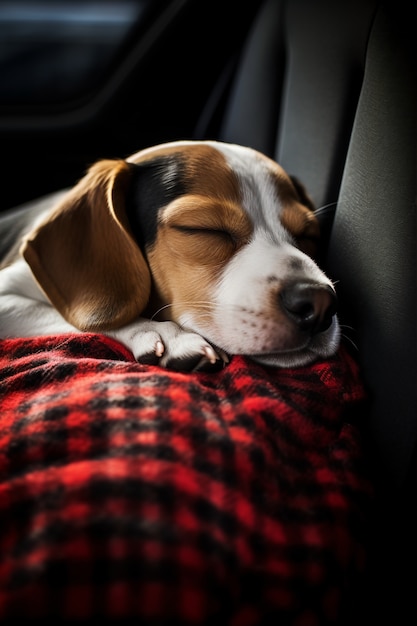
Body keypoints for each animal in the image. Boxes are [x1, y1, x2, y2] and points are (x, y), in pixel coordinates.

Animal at [0, 139, 340, 368]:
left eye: (308, 235)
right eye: (205, 229)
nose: (319, 303)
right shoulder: (7, 295)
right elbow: (74, 317)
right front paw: (165, 334)